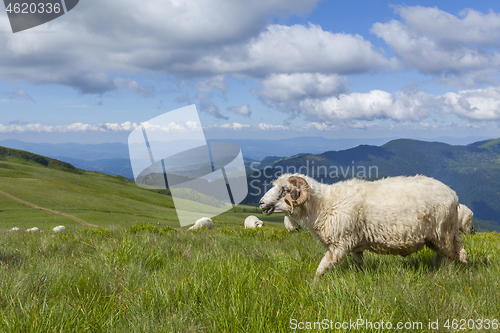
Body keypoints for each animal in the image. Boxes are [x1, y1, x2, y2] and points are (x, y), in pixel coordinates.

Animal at [260, 172, 466, 278]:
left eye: (285, 190)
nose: (261, 203)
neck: (323, 204)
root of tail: (453, 194)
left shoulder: (340, 244)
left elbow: (322, 268)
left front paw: (314, 286)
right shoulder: (355, 245)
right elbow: (360, 264)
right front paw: (364, 277)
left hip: (443, 232)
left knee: (449, 255)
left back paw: (445, 275)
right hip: (436, 235)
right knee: (442, 254)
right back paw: (436, 270)